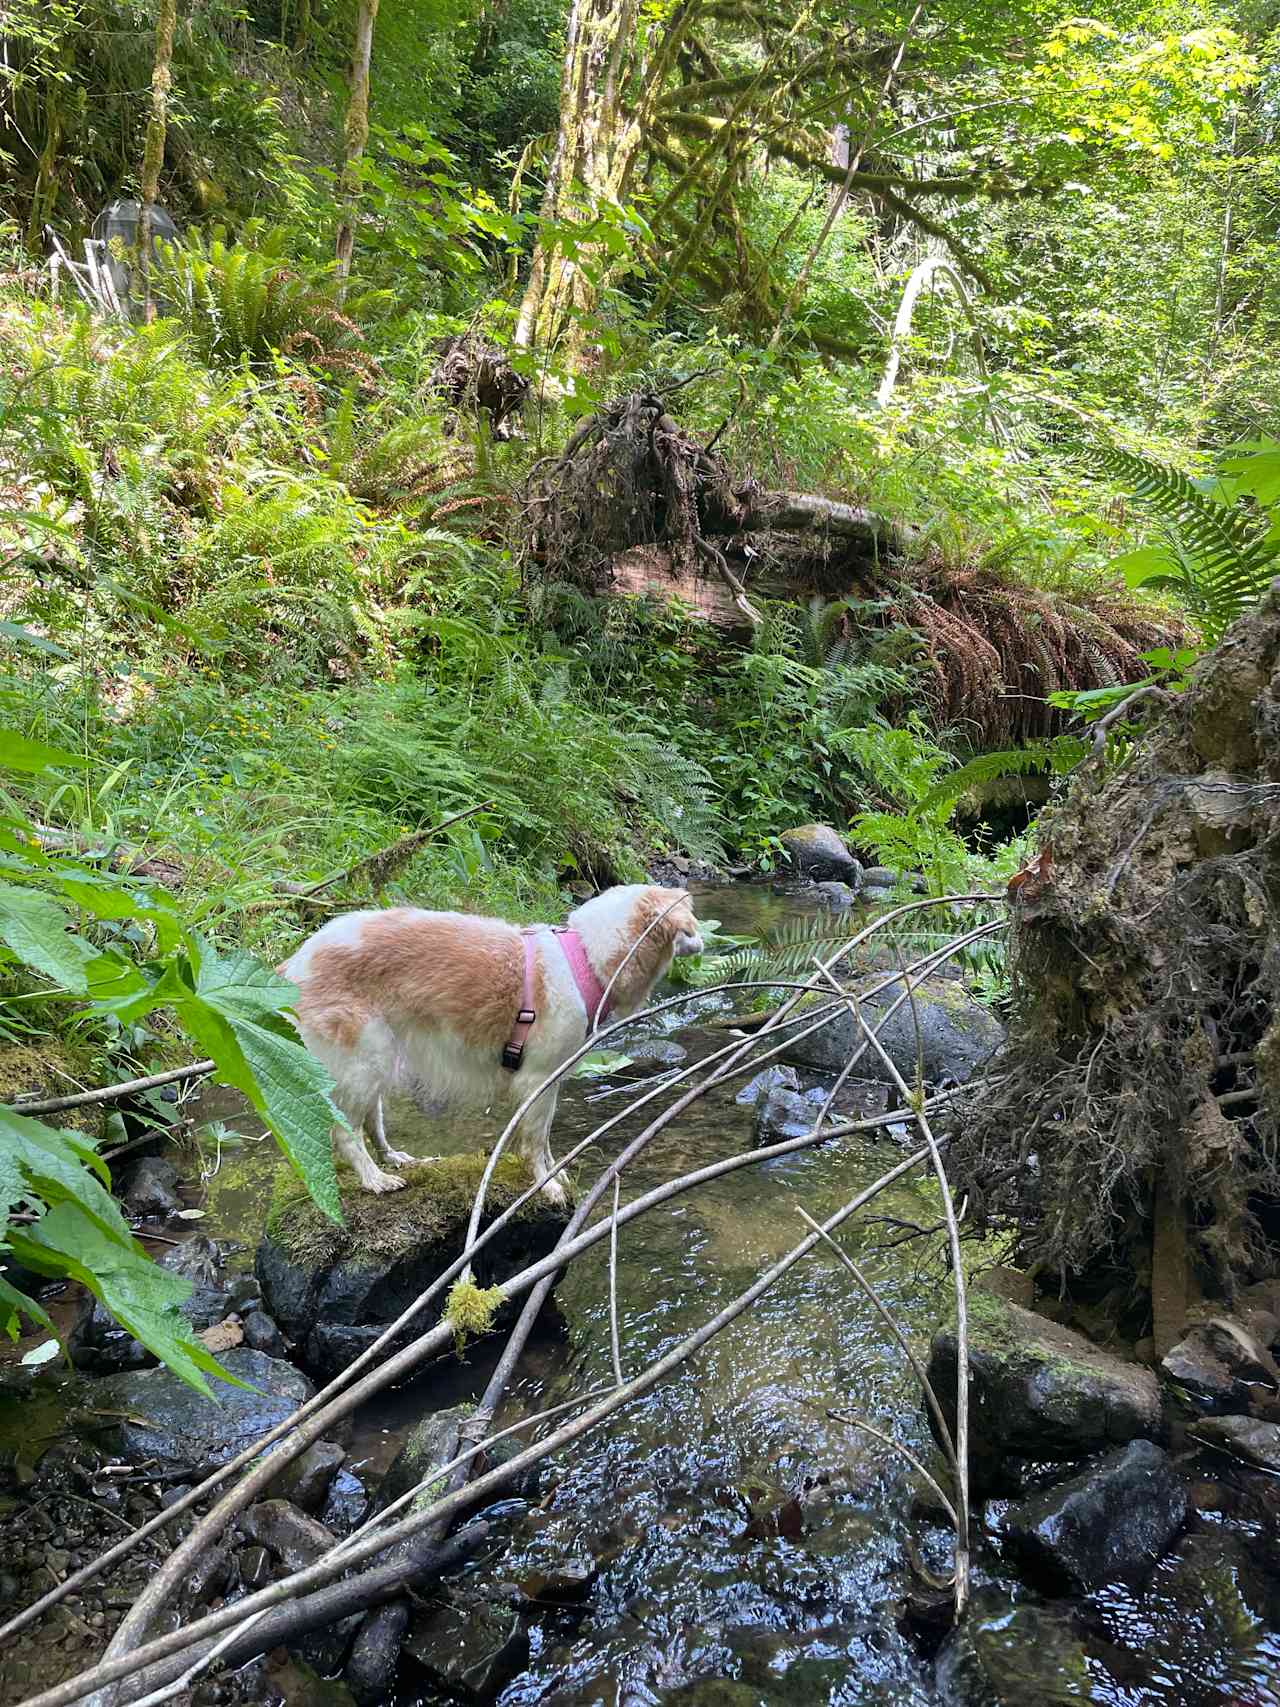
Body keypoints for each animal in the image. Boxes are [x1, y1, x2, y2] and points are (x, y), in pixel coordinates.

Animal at [279, 887, 703, 1208]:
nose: (701, 942)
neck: (582, 957)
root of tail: (295, 962)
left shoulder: (552, 1080)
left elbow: (545, 1141)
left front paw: (557, 1171)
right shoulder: (537, 1080)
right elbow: (535, 1142)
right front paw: (547, 1185)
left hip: (376, 1058)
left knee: (372, 1119)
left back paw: (392, 1158)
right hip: (364, 1059)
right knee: (344, 1131)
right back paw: (373, 1178)